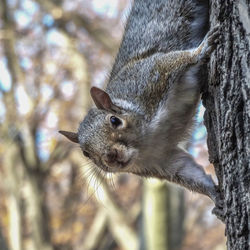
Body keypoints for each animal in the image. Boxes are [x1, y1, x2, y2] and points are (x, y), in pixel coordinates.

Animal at [60, 0, 221, 205]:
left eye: (114, 120)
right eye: (85, 153)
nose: (110, 157)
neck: (146, 142)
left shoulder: (151, 77)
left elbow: (175, 60)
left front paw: (202, 49)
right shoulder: (161, 161)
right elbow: (189, 174)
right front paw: (216, 196)